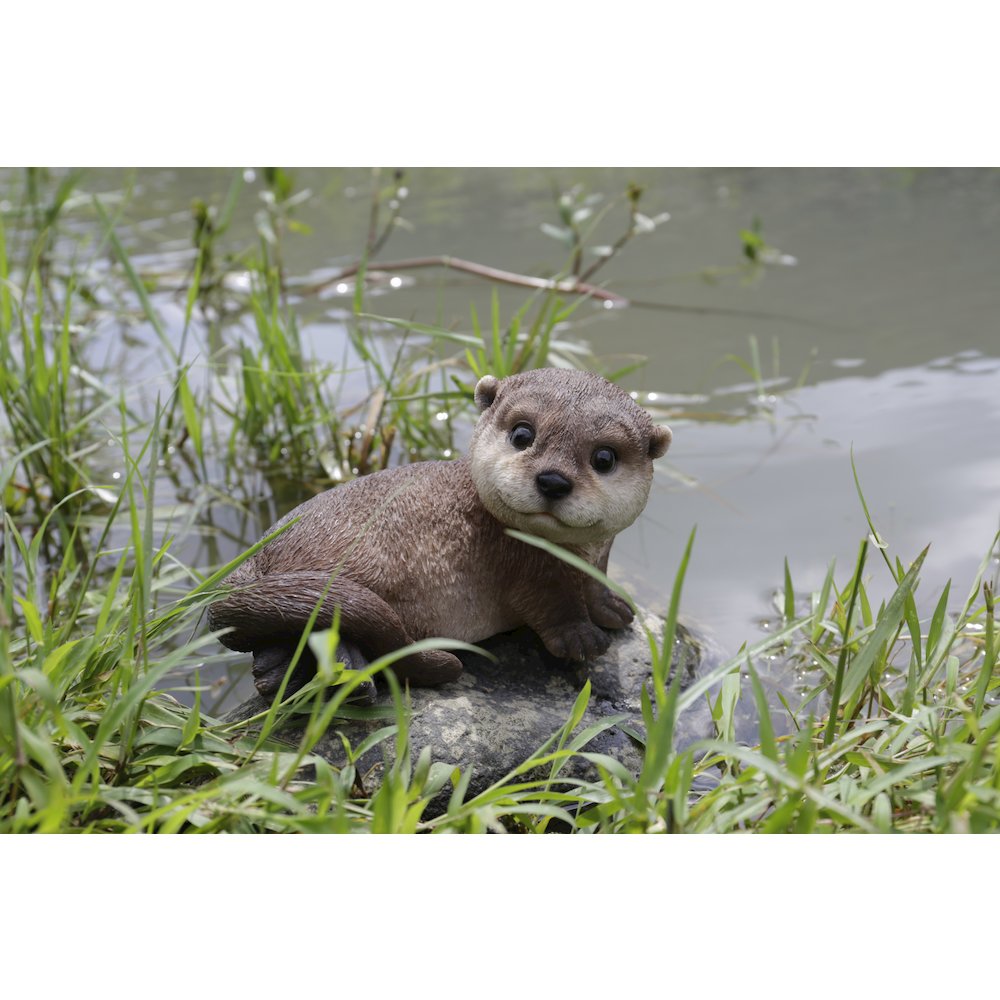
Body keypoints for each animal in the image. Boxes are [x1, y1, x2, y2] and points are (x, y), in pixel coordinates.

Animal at [208, 368, 672, 697]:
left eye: (604, 458)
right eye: (523, 434)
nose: (553, 480)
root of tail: (258, 553)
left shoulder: (599, 557)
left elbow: (595, 587)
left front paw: (614, 608)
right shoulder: (530, 571)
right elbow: (554, 606)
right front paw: (581, 639)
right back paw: (348, 673)